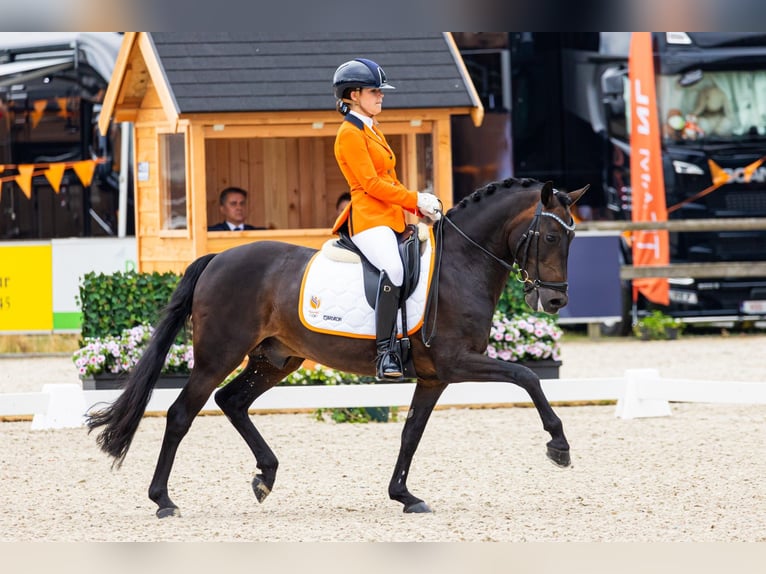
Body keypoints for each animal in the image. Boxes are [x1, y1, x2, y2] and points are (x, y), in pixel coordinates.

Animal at [87, 178, 592, 520]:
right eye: (550, 236)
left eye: (572, 238)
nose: (555, 302)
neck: (460, 265)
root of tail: (217, 258)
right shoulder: (456, 361)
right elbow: (528, 377)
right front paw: (559, 445)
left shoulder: (435, 376)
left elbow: (411, 433)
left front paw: (404, 496)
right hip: (219, 355)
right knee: (181, 413)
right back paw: (163, 500)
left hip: (275, 359)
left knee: (232, 401)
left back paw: (265, 476)